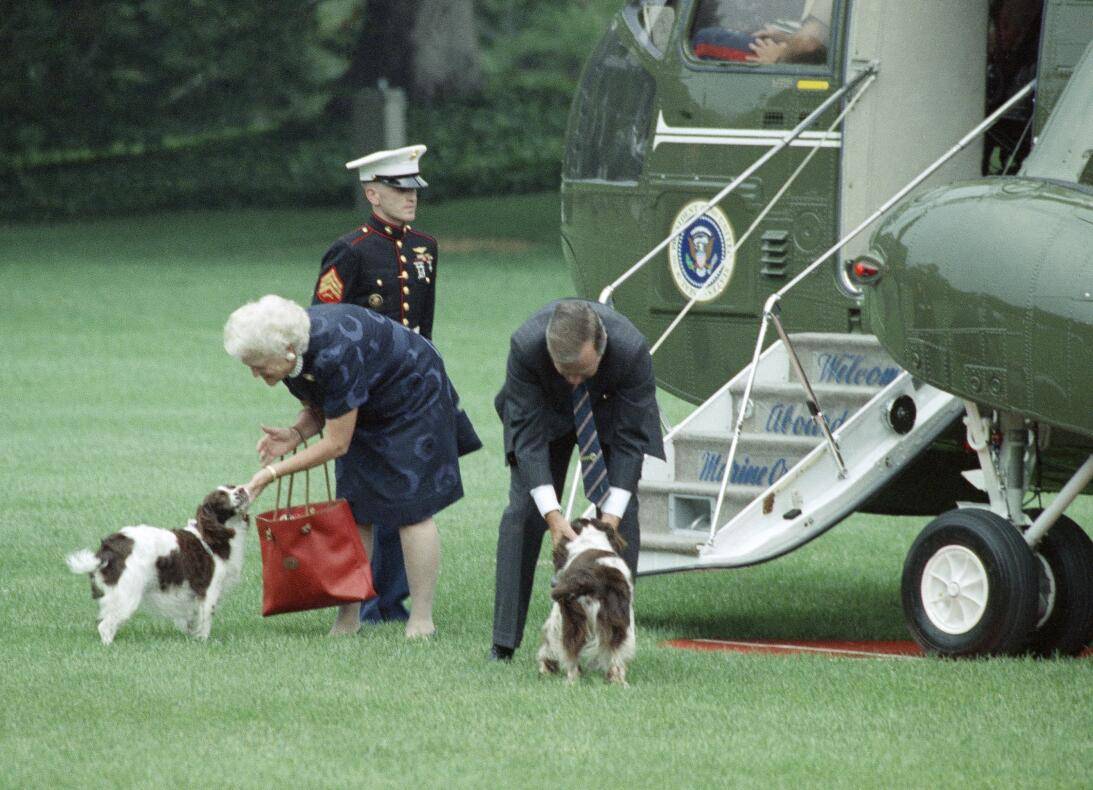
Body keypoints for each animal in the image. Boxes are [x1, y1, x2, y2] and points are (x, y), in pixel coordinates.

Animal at [66, 485, 251, 646]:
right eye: (221, 496)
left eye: (232, 486)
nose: (242, 489)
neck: (214, 536)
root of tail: (108, 547)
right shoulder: (208, 590)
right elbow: (205, 621)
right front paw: (203, 642)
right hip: (127, 595)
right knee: (104, 626)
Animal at [535, 520, 633, 686]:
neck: (590, 541)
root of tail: (589, 577)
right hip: (619, 621)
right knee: (615, 650)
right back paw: (618, 681)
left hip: (574, 619)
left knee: (572, 649)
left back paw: (572, 680)